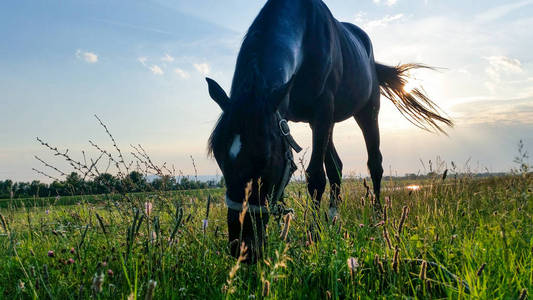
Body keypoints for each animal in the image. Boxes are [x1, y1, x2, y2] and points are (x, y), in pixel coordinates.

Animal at [206, 0, 450, 260]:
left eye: (264, 159)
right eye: (219, 158)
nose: (242, 247)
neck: (305, 30)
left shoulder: (322, 109)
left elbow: (315, 178)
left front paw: (312, 238)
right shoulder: (293, 115)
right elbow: (326, 172)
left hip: (365, 111)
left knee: (374, 164)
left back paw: (377, 218)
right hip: (327, 122)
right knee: (336, 167)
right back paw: (333, 220)